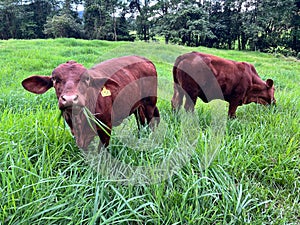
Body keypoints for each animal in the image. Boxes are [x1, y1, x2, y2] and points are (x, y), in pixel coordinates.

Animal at [21, 55, 159, 149]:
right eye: (55, 79)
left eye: (86, 79)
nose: (70, 99)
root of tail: (145, 59)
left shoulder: (105, 127)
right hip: (137, 105)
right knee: (141, 121)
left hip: (150, 102)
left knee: (151, 121)